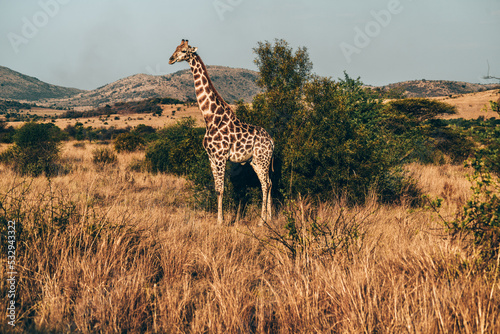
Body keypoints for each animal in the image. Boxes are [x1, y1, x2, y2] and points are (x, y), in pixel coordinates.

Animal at [170, 40, 276, 226]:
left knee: (266, 184)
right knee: (268, 183)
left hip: (262, 159)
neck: (210, 117)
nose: (170, 59)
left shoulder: (220, 157)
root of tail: (272, 141)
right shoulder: (211, 157)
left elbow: (221, 189)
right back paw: (268, 218)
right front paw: (219, 219)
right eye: (175, 48)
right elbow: (217, 188)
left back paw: (261, 221)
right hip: (256, 161)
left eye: (183, 51)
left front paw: (220, 220)